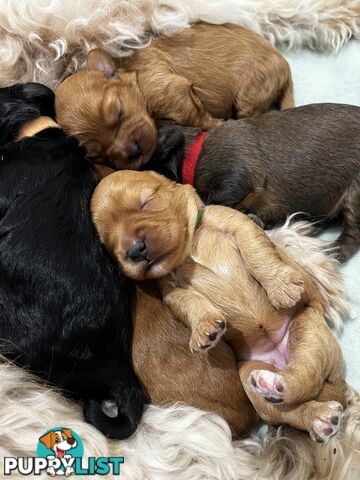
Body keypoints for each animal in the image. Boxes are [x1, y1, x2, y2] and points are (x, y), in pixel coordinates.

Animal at [55, 23, 292, 172]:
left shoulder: (167, 89)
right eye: (97, 154)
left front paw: (216, 125)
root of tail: (283, 64)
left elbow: (197, 117)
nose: (133, 151)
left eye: (119, 111)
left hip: (251, 92)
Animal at [90, 171, 346, 444]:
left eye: (146, 202)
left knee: (306, 374)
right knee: (286, 407)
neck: (190, 247)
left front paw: (281, 286)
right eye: (107, 241)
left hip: (308, 329)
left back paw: (290, 390)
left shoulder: (237, 223)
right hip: (248, 375)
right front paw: (205, 329)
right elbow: (190, 302)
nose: (135, 250)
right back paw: (308, 412)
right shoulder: (171, 289)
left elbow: (257, 252)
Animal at [145, 103, 360, 262]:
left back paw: (332, 252)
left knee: (352, 235)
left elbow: (216, 202)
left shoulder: (236, 175)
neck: (194, 154)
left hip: (355, 193)